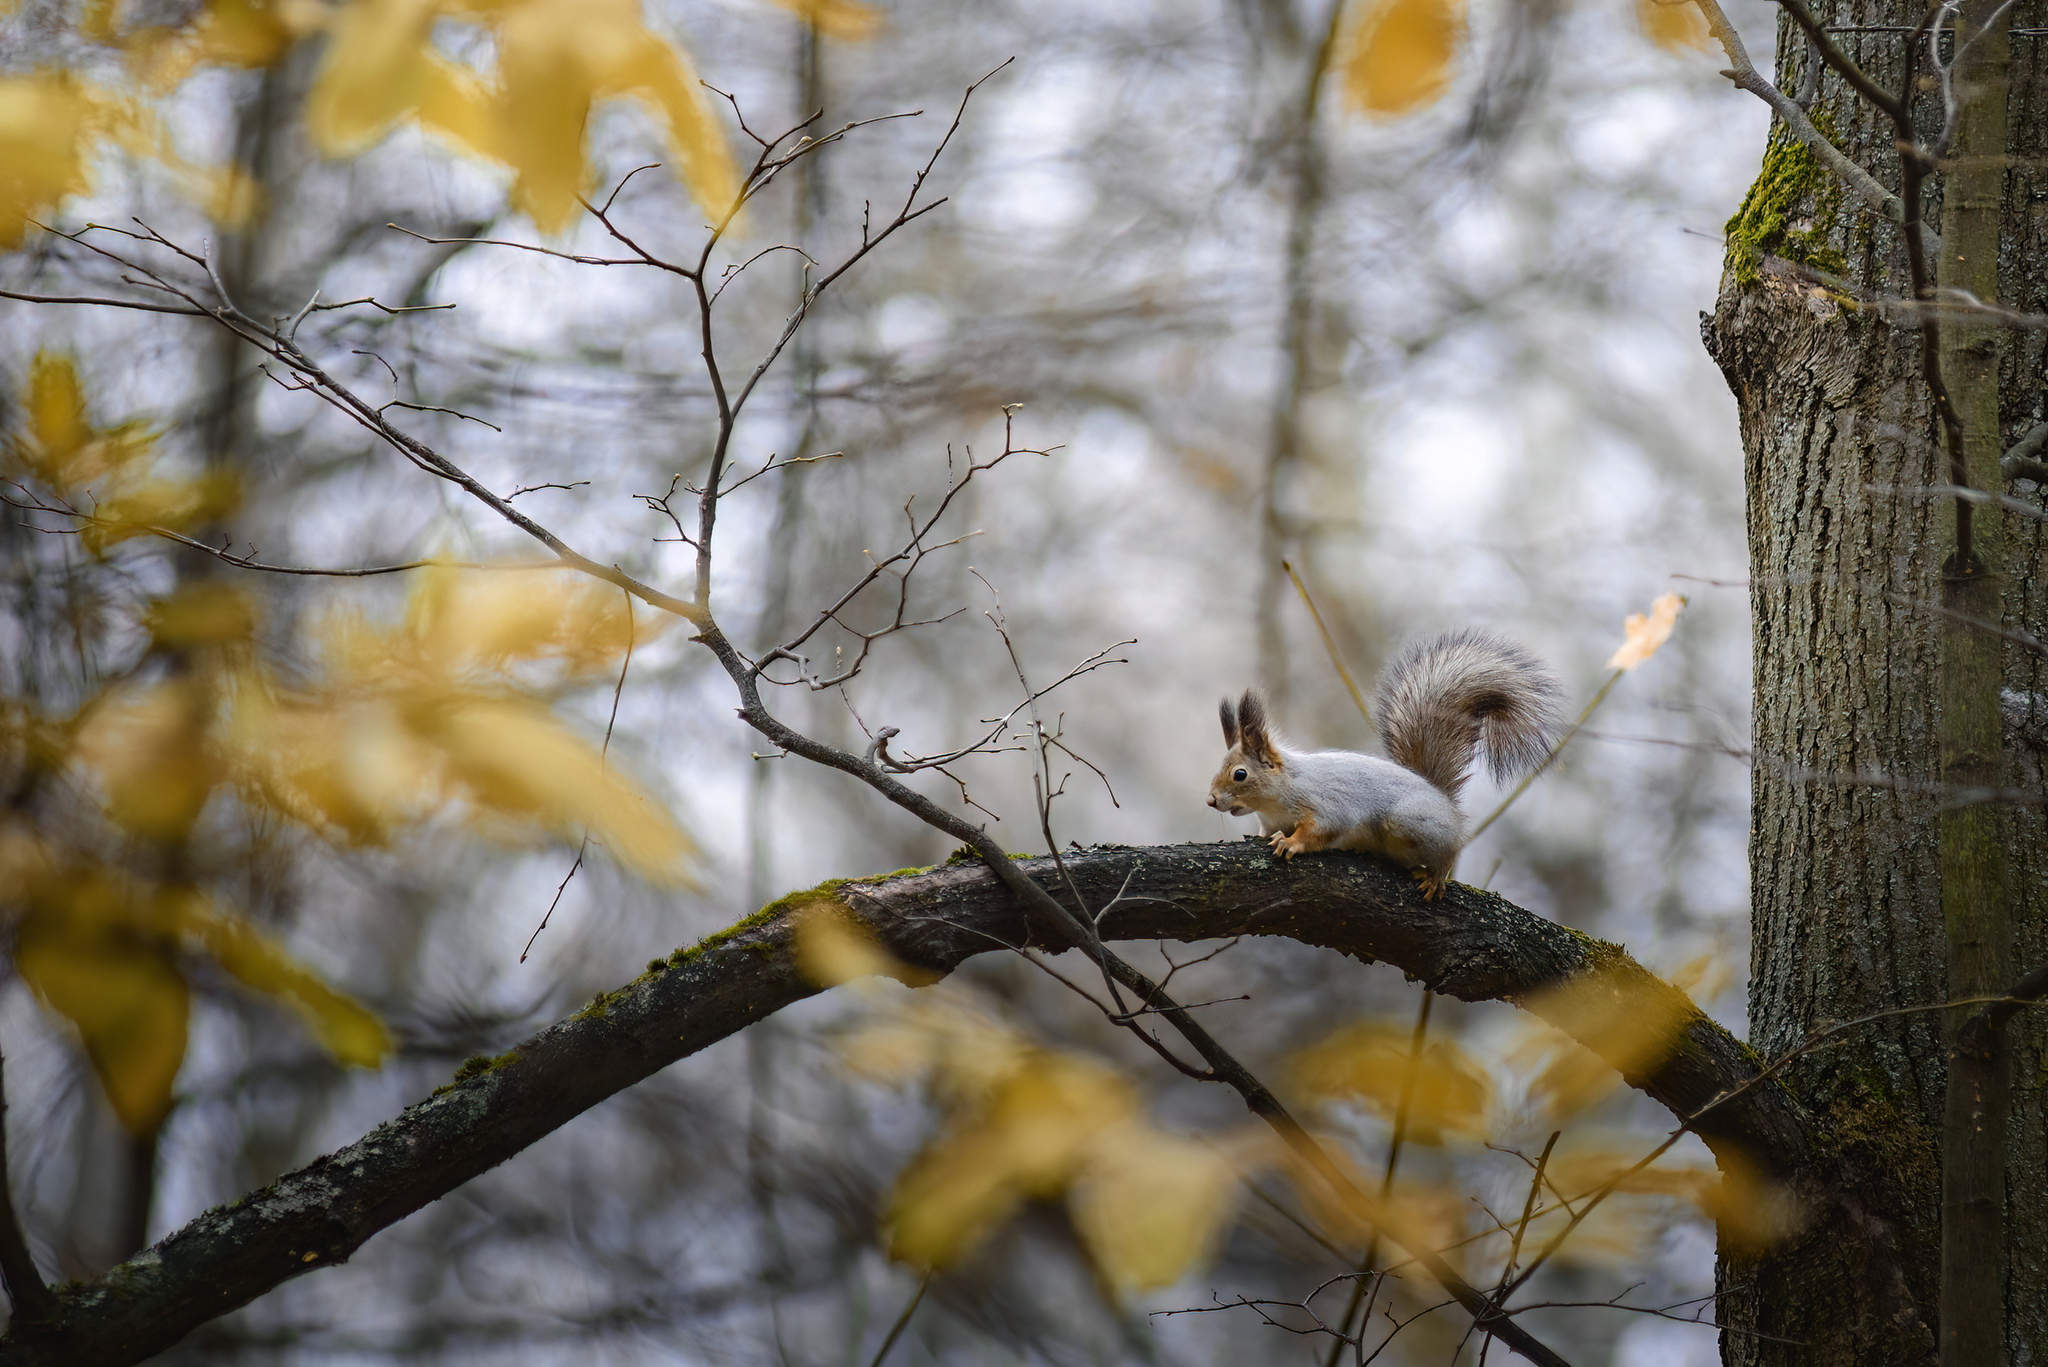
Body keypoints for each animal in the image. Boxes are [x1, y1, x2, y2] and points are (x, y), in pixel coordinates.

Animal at [1204, 635, 1556, 909]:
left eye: (1239, 774)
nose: (1210, 801)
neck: (1276, 799)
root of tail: (1444, 801)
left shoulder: (1326, 803)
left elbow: (1321, 830)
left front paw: (1291, 843)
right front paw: (1265, 837)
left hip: (1409, 821)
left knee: (1450, 850)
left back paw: (1435, 876)